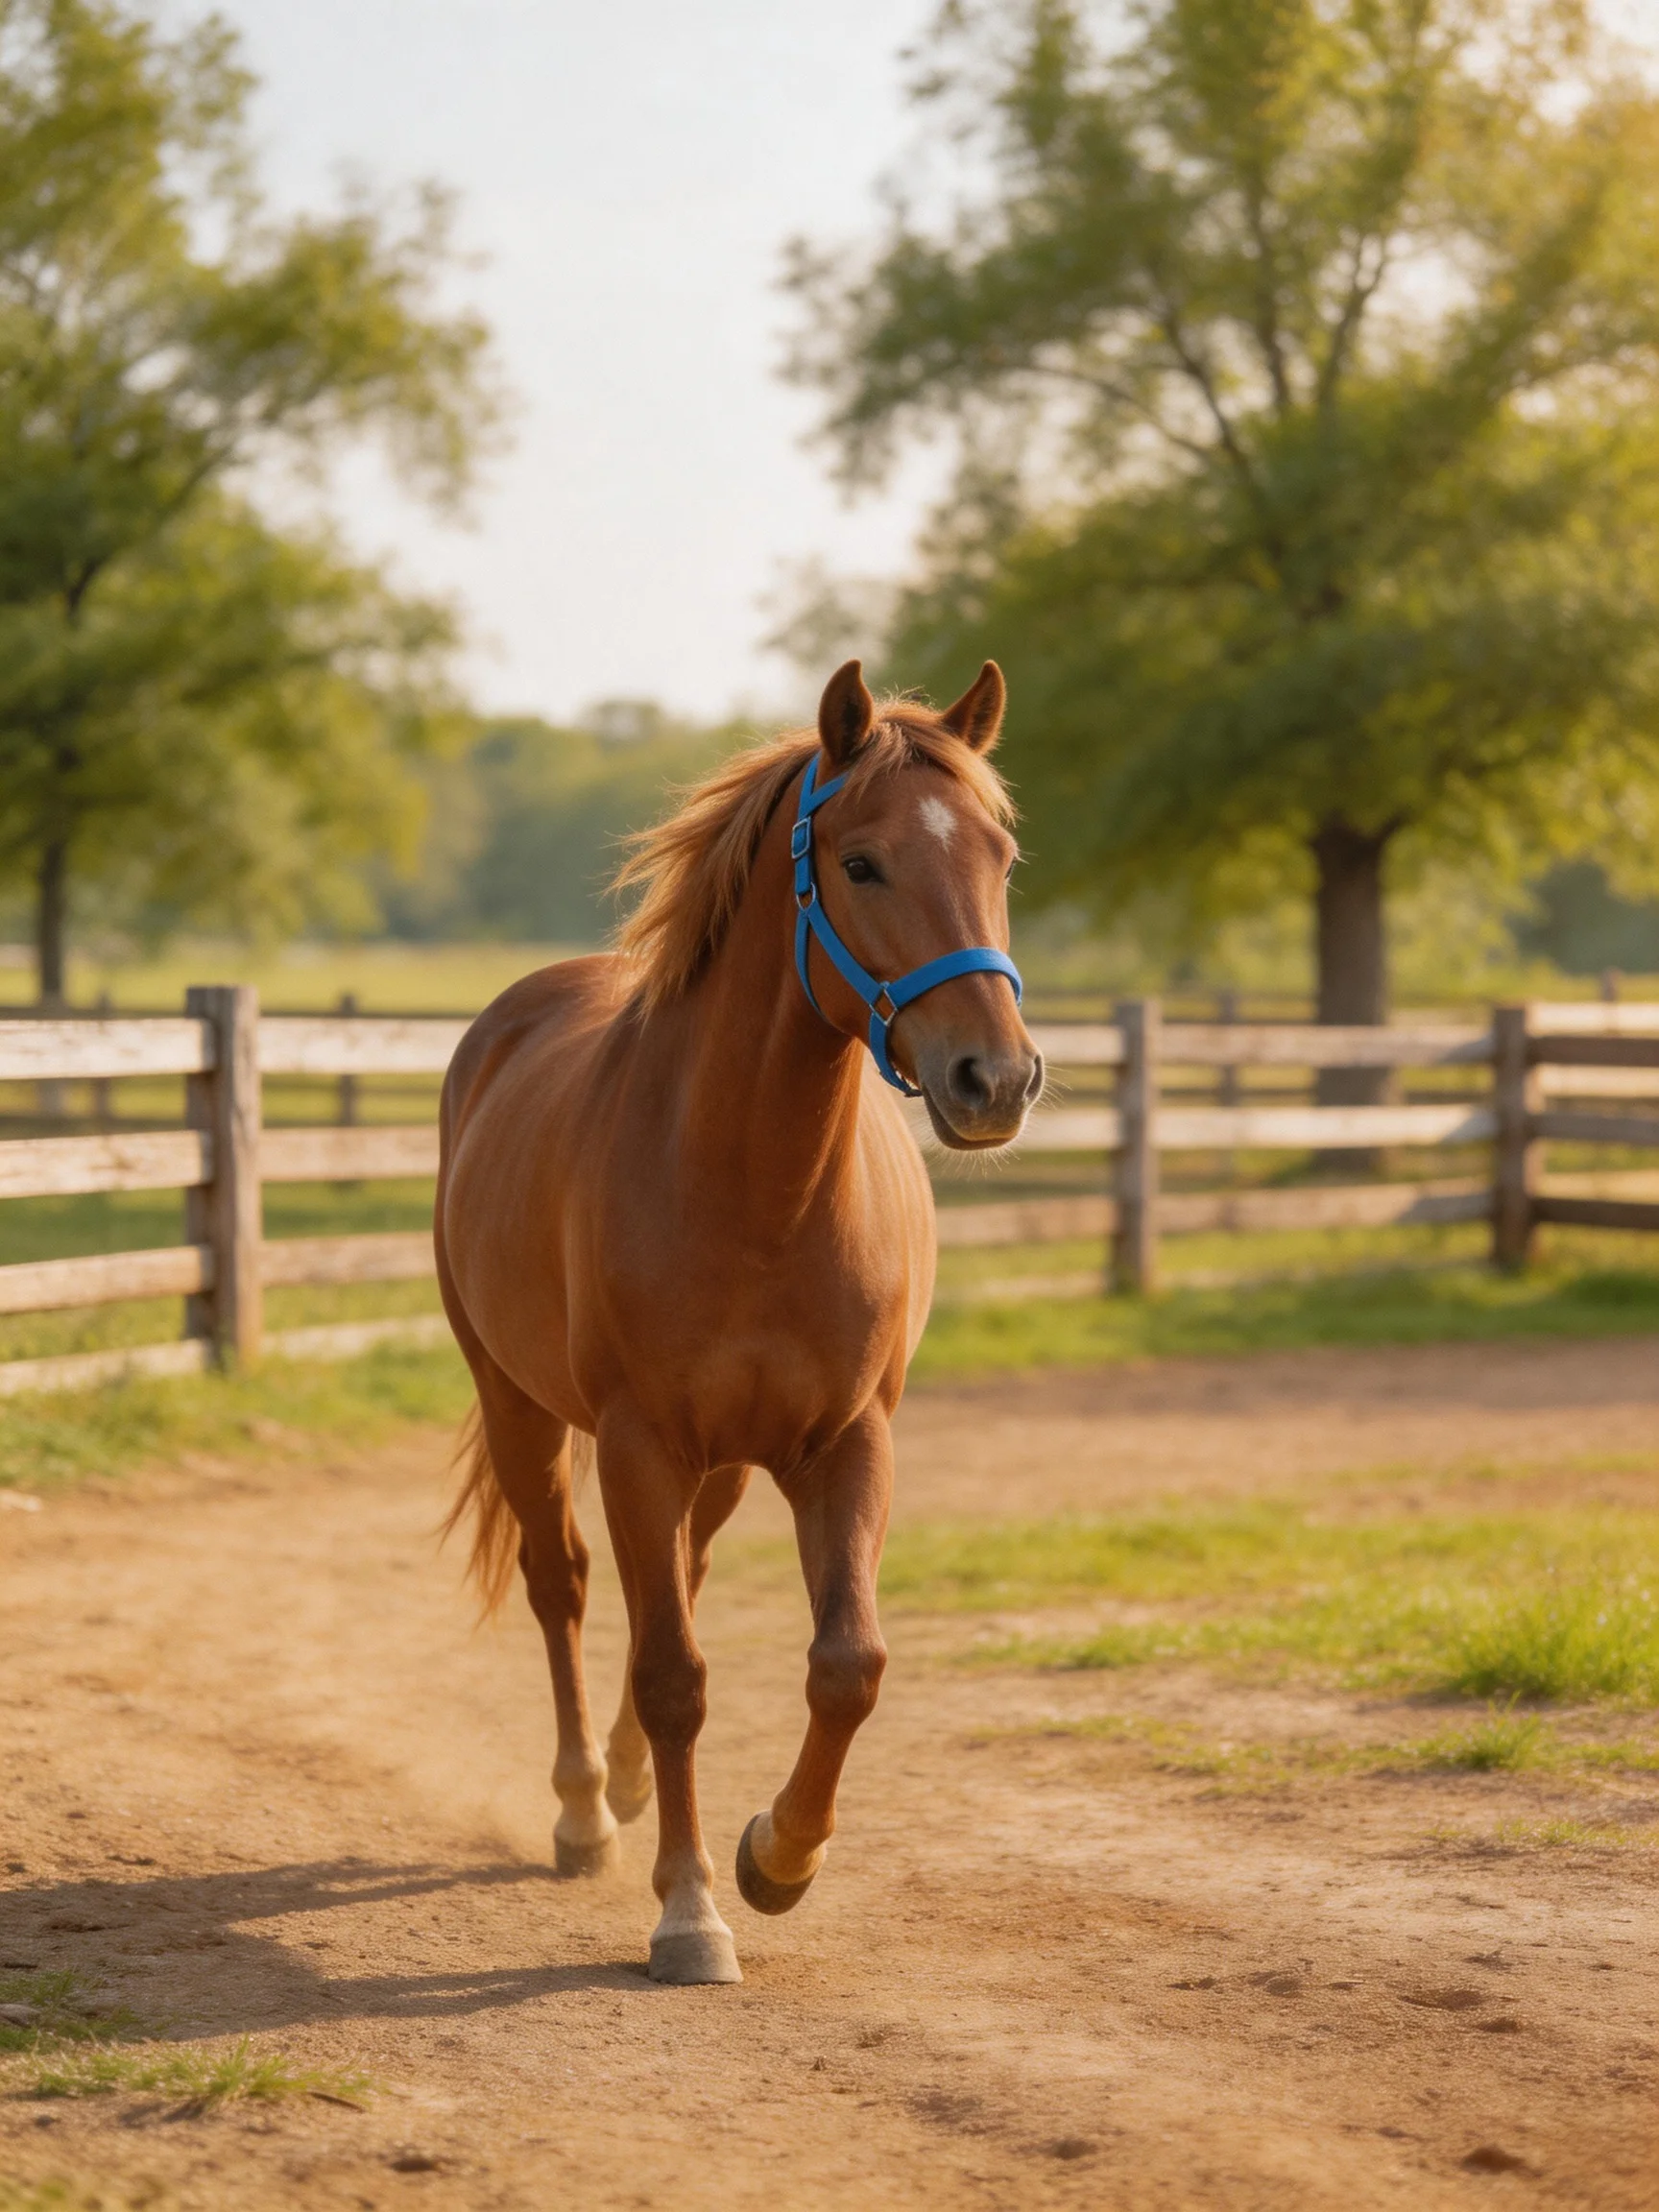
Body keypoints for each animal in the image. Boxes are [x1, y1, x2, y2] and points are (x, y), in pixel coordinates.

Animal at [434, 658, 1042, 1984]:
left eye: (1002, 857)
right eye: (861, 864)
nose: (996, 1081)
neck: (758, 1186)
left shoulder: (847, 1444)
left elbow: (847, 1666)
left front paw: (778, 1856)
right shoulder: (639, 1445)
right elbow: (674, 1677)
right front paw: (689, 1908)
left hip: (715, 1467)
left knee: (685, 1579)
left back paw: (629, 1790)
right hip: (523, 1411)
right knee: (565, 1589)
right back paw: (583, 1808)